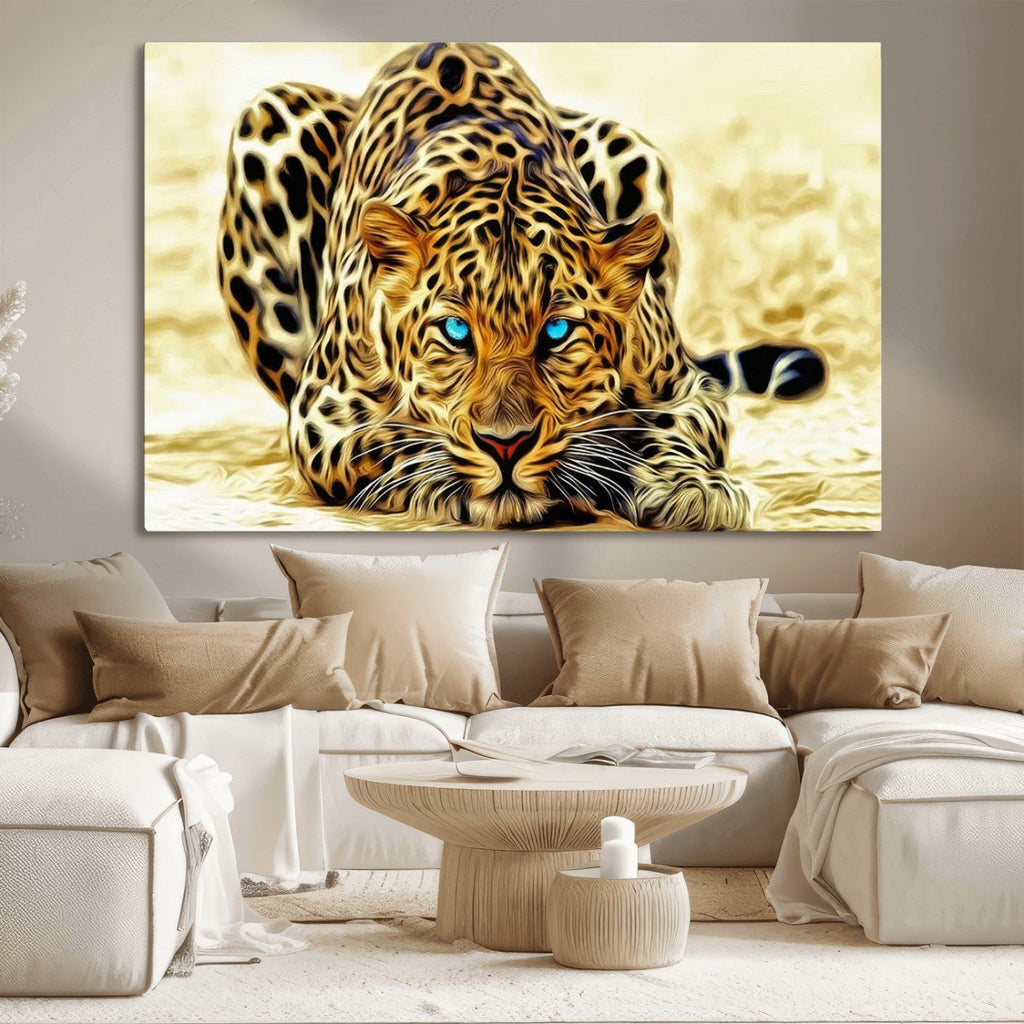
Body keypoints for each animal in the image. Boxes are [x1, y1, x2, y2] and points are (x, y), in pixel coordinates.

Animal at [217, 42, 825, 530]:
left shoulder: (684, 387)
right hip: (270, 118)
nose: (505, 445)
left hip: (629, 146)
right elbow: (389, 442)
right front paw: (447, 480)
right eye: (456, 331)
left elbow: (677, 428)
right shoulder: (322, 413)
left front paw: (692, 488)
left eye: (557, 332)